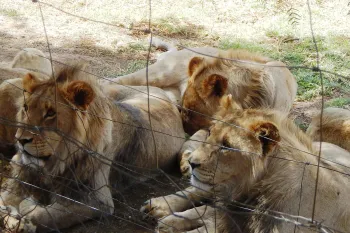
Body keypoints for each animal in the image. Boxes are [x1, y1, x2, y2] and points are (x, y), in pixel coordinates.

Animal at [0, 63, 186, 233]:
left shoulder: (97, 200)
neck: (56, 163)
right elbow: (5, 198)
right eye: (26, 108)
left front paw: (25, 213)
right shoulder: (22, 178)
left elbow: (44, 215)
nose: (20, 139)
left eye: (51, 113)